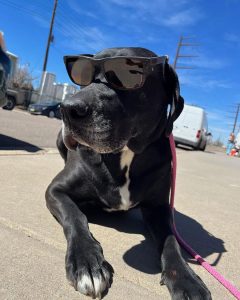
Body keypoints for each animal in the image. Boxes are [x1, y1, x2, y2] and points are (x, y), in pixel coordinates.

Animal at [45, 48, 212, 298]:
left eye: (127, 73)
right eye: (83, 74)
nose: (67, 108)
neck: (125, 155)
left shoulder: (158, 208)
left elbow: (171, 241)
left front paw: (186, 279)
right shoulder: (55, 190)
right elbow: (75, 216)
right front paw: (87, 263)